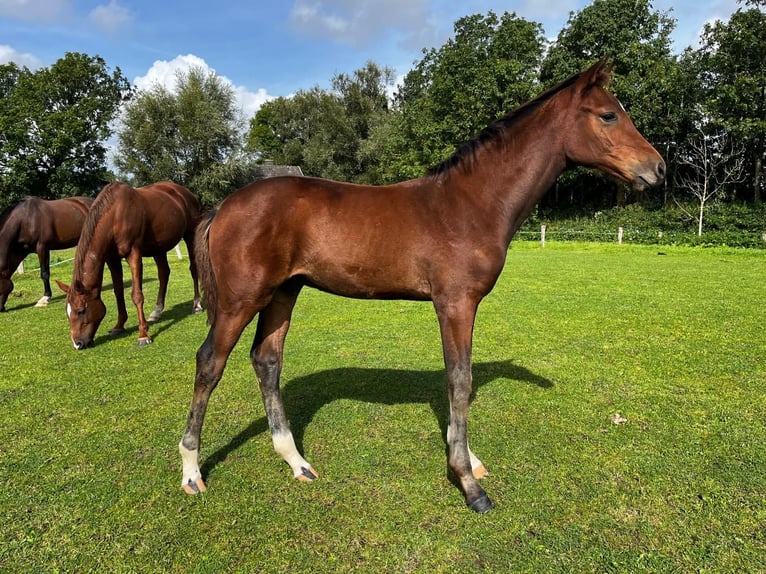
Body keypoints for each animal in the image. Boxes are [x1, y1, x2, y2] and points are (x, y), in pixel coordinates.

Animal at [57, 182, 204, 348]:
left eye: (81, 310)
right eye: (67, 312)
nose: (78, 344)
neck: (115, 215)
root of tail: (185, 192)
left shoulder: (134, 254)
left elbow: (137, 295)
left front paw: (143, 335)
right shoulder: (112, 259)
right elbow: (118, 291)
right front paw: (119, 326)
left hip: (190, 235)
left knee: (193, 269)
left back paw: (197, 305)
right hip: (158, 248)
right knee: (164, 274)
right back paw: (157, 312)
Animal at [180, 60, 664, 516]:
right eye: (608, 115)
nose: (658, 168)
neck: (471, 203)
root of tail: (222, 206)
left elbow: (455, 382)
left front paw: (468, 459)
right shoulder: (456, 303)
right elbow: (460, 379)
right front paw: (468, 483)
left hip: (284, 292)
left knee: (267, 361)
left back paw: (296, 461)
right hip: (242, 299)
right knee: (210, 363)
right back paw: (191, 472)